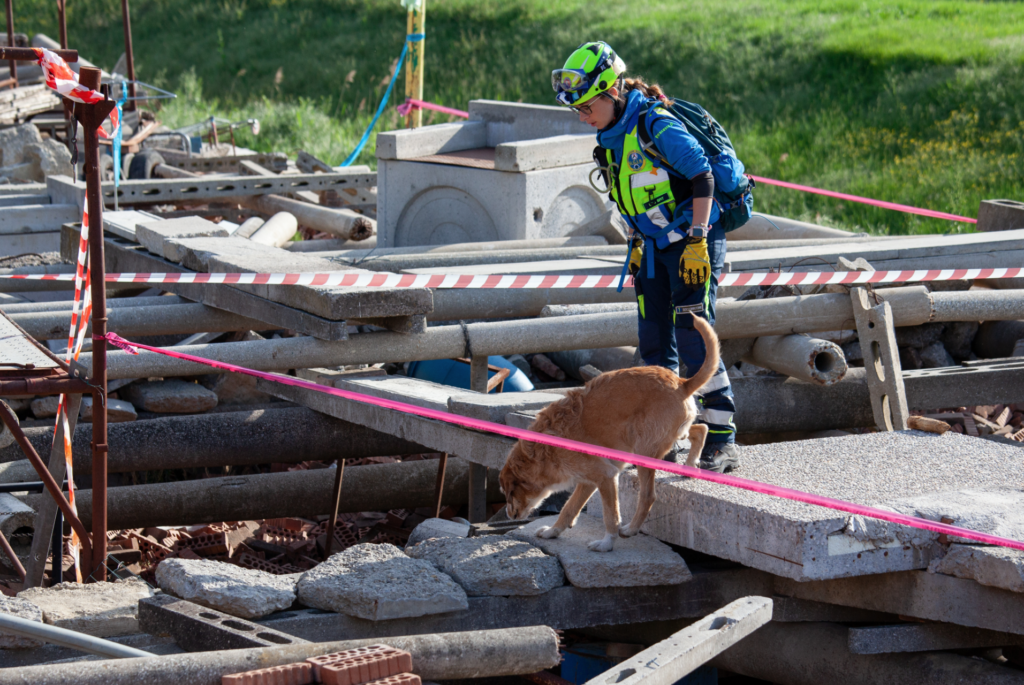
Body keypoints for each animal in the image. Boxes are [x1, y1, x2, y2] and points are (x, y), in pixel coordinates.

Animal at [497, 315, 720, 548]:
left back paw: (631, 529)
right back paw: (691, 464)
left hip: (643, 452)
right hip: (668, 434)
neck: (541, 451)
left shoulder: (606, 476)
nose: (508, 515)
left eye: (508, 493)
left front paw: (606, 543)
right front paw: (553, 531)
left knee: (648, 496)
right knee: (701, 428)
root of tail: (681, 383)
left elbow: (610, 515)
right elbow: (569, 508)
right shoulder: (588, 482)